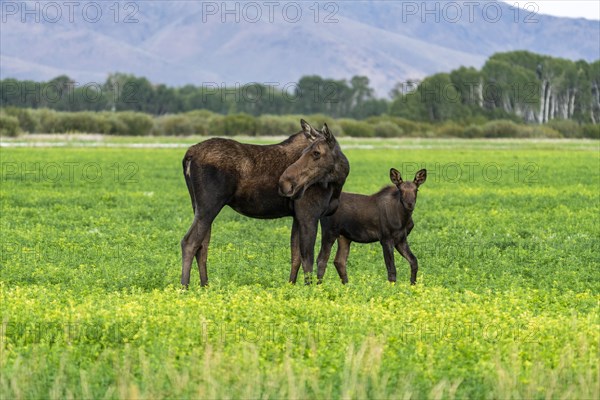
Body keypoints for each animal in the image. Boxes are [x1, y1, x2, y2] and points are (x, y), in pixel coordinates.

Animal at [180, 119, 350, 288]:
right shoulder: (309, 215)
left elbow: (295, 257)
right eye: (305, 153)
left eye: (316, 153)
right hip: (209, 206)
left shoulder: (297, 216)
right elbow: (307, 259)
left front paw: (291, 287)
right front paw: (308, 290)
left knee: (202, 245)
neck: (337, 182)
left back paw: (205, 286)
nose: (284, 183)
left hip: (197, 206)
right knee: (190, 242)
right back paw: (184, 287)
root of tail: (189, 155)